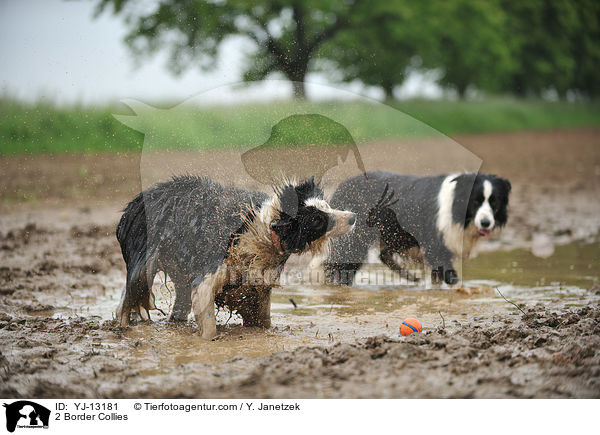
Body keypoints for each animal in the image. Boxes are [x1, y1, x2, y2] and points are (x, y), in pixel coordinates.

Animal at [115, 175, 354, 338]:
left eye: (326, 206)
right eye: (316, 219)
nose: (353, 217)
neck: (264, 230)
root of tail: (133, 204)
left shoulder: (257, 286)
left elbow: (262, 318)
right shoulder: (207, 276)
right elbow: (208, 323)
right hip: (143, 263)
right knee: (127, 301)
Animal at [324, 172, 510, 288]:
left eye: (494, 202)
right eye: (476, 202)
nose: (486, 223)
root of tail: (343, 185)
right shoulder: (436, 246)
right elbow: (450, 275)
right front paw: (468, 291)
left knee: (383, 255)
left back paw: (411, 277)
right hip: (356, 238)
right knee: (341, 265)